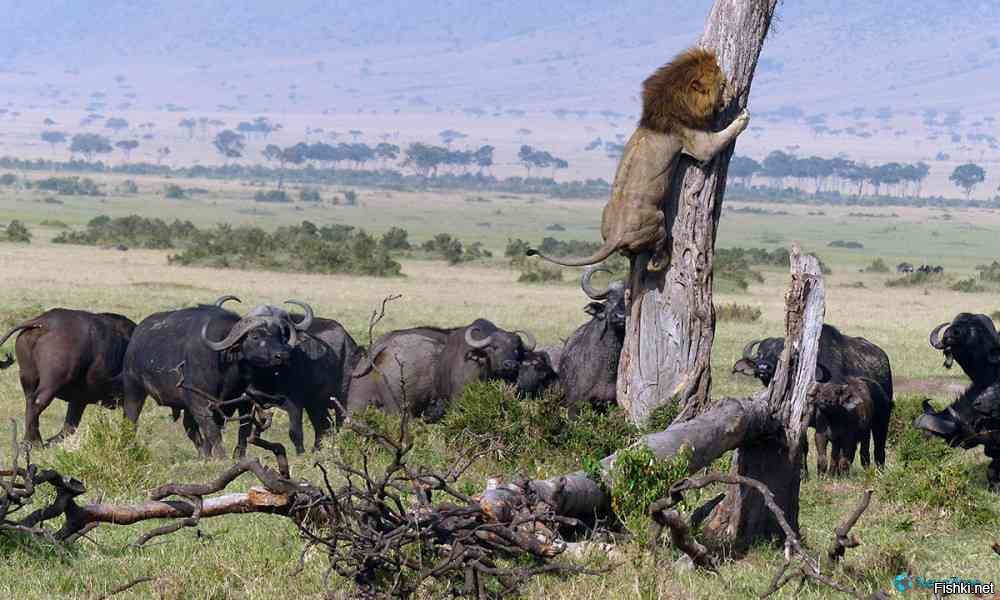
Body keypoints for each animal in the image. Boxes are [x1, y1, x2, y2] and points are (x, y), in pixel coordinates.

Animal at [0, 310, 137, 446]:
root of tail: (45, 321)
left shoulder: (79, 400)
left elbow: (70, 426)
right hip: (52, 382)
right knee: (37, 402)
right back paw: (34, 442)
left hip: (28, 377)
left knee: (31, 403)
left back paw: (33, 441)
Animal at [124, 298, 312, 458]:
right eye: (255, 336)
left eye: (282, 335)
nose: (283, 355)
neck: (226, 368)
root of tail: (136, 335)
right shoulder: (200, 402)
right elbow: (212, 431)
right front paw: (221, 457)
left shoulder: (240, 403)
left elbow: (238, 430)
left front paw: (231, 456)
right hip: (134, 389)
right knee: (131, 419)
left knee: (190, 427)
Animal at [532, 48, 752, 270]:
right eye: (722, 85)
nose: (734, 94)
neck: (677, 100)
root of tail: (615, 235)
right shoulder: (697, 142)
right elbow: (721, 138)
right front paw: (743, 115)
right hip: (656, 220)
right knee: (656, 252)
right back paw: (662, 260)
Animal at [732, 324, 896, 474]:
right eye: (760, 354)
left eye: (779, 355)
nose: (763, 368)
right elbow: (803, 444)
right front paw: (803, 474)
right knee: (864, 445)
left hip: (882, 419)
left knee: (879, 446)